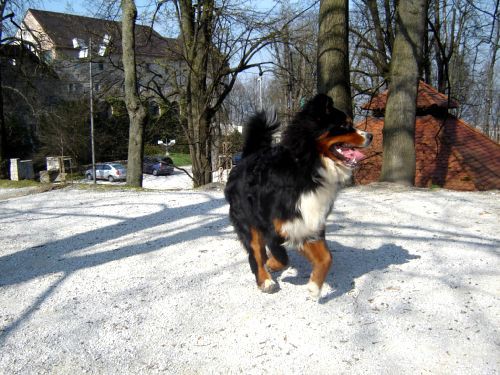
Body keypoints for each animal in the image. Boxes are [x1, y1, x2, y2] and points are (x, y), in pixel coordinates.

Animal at [225, 94, 374, 300]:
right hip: (247, 221)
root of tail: (246, 157)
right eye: (344, 125)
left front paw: (314, 287)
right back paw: (265, 280)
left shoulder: (307, 224)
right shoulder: (273, 226)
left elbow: (326, 257)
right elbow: (281, 256)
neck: (309, 170)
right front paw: (273, 265)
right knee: (255, 252)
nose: (371, 136)